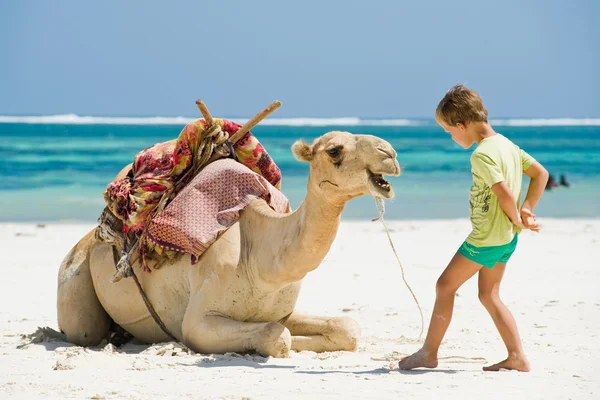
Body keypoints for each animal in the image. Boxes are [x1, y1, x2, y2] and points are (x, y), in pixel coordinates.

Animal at [56, 130, 400, 356]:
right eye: (334, 151)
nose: (390, 154)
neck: (259, 260)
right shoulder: (198, 321)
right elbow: (278, 337)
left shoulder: (280, 310)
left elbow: (345, 328)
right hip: (74, 281)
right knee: (83, 330)